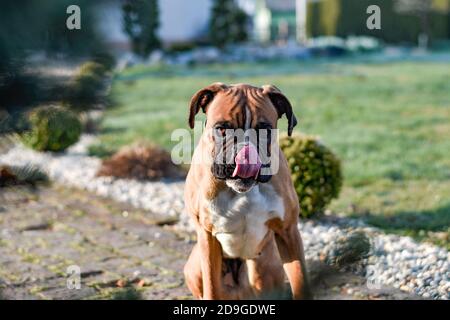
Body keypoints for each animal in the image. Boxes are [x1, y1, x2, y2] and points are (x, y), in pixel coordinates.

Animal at [182, 83, 310, 300]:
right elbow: (211, 288)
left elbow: (301, 281)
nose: (244, 151)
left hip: (266, 269)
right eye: (222, 128)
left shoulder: (288, 232)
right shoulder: (207, 237)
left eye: (265, 130)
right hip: (195, 266)